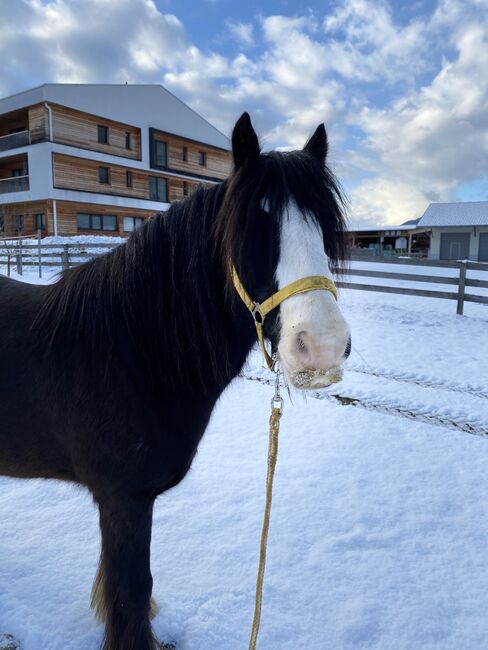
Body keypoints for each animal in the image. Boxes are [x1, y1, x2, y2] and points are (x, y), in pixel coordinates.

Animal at [0, 114, 350, 644]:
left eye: (324, 226)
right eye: (253, 223)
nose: (323, 347)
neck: (131, 354)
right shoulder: (123, 499)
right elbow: (131, 593)